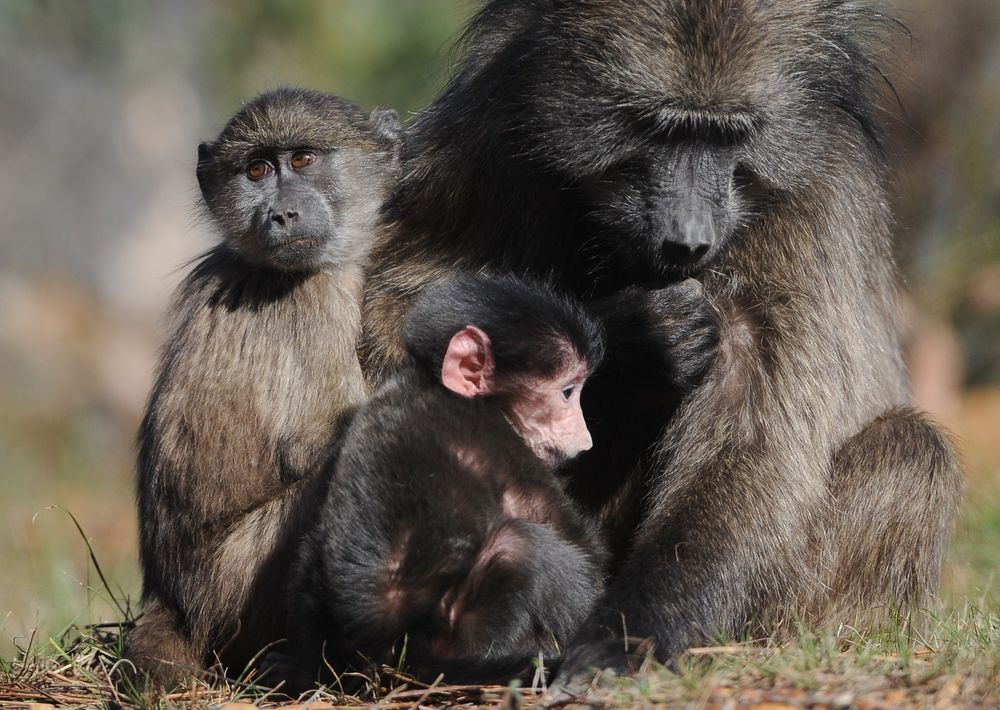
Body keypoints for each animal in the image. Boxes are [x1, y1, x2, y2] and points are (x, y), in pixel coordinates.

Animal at [124, 87, 402, 688]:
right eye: (257, 170)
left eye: (302, 159)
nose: (281, 214)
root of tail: (171, 601)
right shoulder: (315, 302)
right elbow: (318, 443)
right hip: (237, 589)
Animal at [288, 273, 609, 687]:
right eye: (568, 391)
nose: (586, 441)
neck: (434, 384)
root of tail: (394, 650)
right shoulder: (498, 442)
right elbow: (588, 555)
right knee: (517, 547)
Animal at [357, 0, 962, 697]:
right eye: (658, 127)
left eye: (728, 135)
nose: (687, 242)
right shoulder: (491, 132)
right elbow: (388, 309)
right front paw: (634, 337)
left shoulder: (813, 198)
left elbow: (756, 430)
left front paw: (625, 642)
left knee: (911, 453)